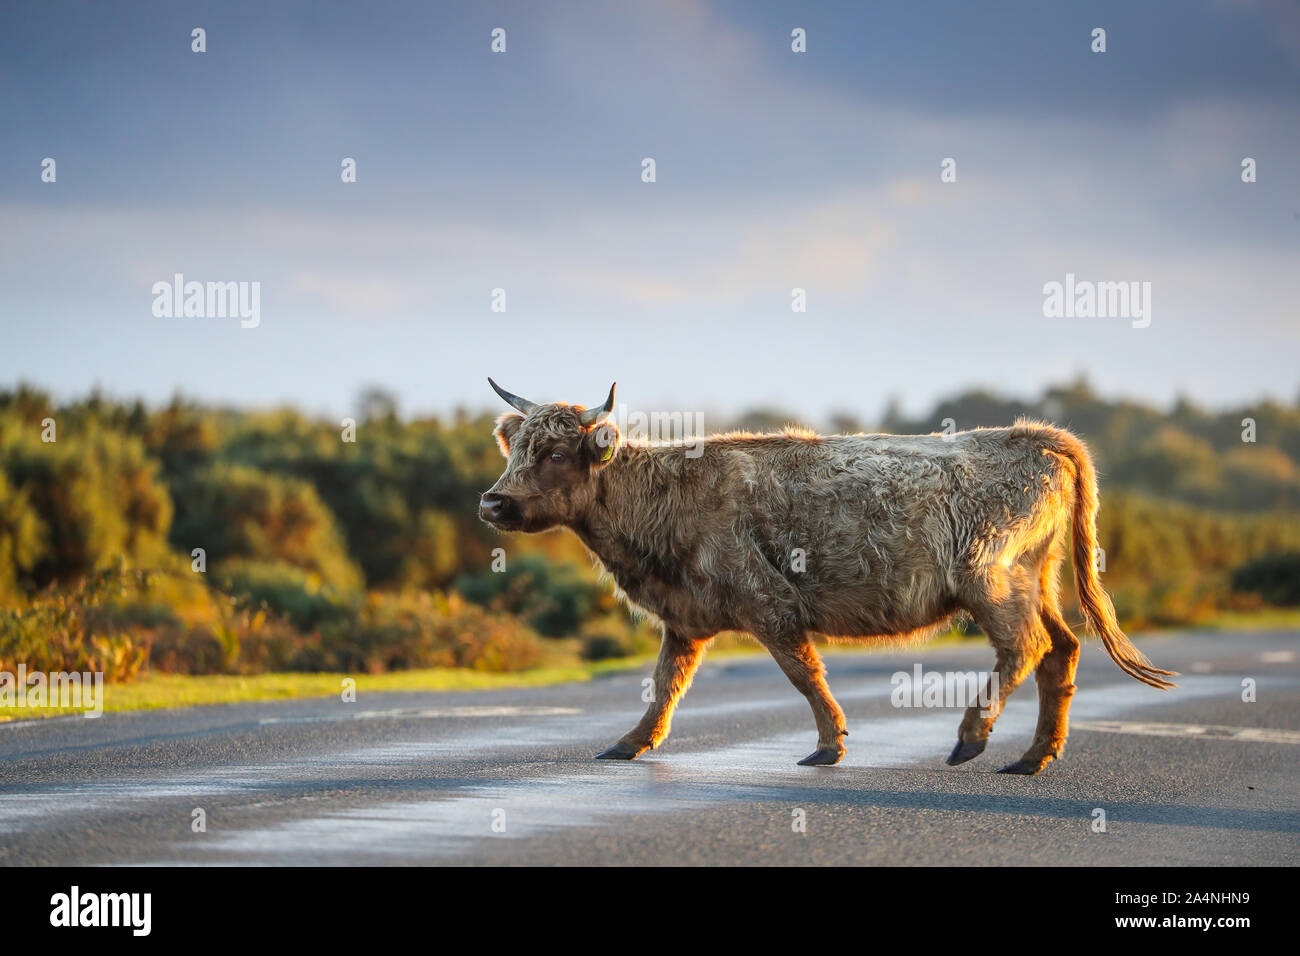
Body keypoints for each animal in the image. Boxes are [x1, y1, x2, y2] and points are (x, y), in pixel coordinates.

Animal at [480, 377, 1180, 775]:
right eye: (515, 450)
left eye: (557, 452)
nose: (492, 502)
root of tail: (1032, 434)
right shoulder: (684, 621)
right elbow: (664, 686)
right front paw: (628, 743)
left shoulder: (769, 604)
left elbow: (802, 673)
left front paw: (829, 745)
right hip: (1037, 580)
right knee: (1061, 649)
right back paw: (1034, 758)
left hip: (990, 580)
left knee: (1025, 647)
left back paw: (971, 739)